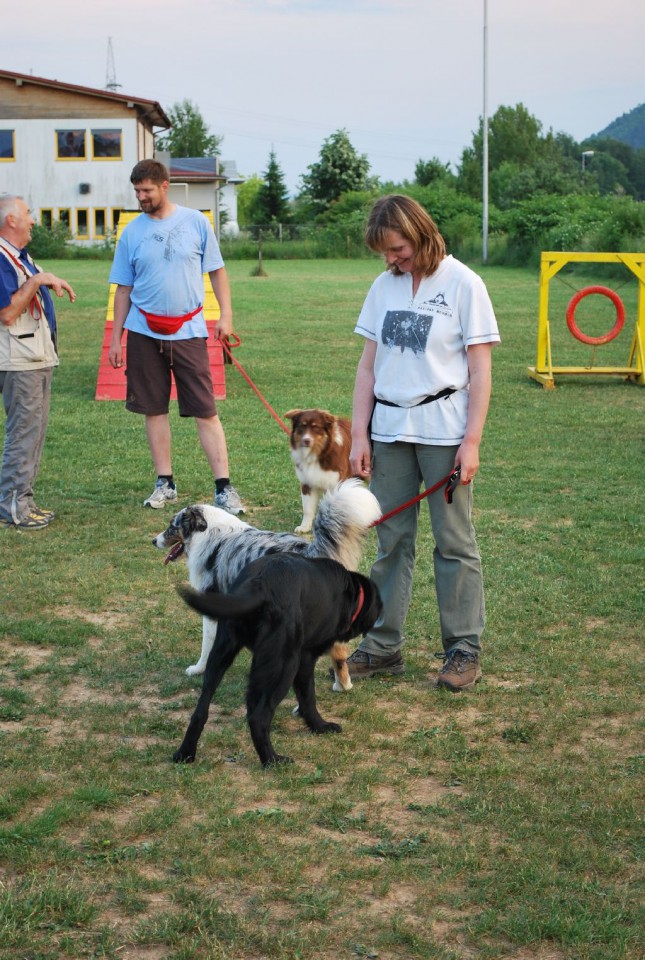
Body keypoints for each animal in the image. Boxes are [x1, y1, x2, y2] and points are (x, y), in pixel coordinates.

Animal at [153, 480, 380, 684]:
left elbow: (207, 644)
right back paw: (343, 685)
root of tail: (312, 552)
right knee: (338, 649)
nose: (153, 541)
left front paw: (199, 668)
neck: (208, 532)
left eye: (172, 527)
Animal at [174, 556, 380, 764]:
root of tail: (259, 584)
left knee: (201, 711)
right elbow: (308, 697)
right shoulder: (306, 658)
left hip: (220, 657)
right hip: (286, 665)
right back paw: (272, 759)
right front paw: (320, 726)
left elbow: (252, 699)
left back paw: (185, 753)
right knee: (259, 718)